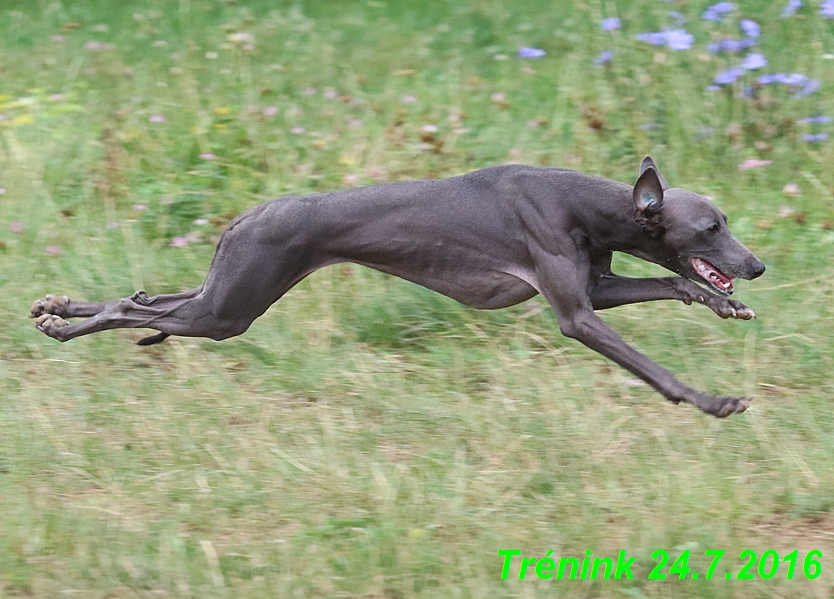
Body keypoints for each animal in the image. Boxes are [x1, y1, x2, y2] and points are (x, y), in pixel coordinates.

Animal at [32, 157, 760, 420]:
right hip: (227, 309)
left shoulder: (598, 286)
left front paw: (724, 303)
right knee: (132, 307)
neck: (586, 201)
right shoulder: (577, 314)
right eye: (711, 226)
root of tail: (246, 217)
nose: (757, 266)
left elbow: (672, 282)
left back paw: (56, 308)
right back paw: (63, 325)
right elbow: (650, 364)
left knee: (144, 302)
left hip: (225, 295)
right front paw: (712, 400)